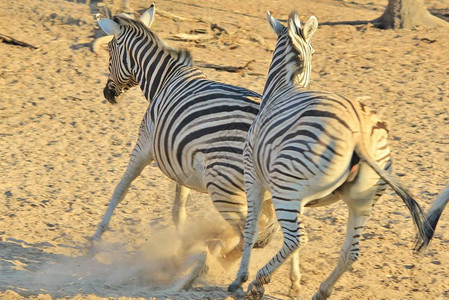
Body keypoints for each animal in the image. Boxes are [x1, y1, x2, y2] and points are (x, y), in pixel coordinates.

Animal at [89, 3, 278, 282]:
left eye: (110, 52)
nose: (107, 94)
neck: (164, 79)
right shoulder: (182, 162)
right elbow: (179, 211)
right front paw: (180, 250)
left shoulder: (144, 146)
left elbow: (120, 189)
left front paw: (97, 236)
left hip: (223, 185)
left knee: (250, 231)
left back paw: (216, 265)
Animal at [228, 10, 434, 298]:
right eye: (314, 50)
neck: (284, 86)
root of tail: (359, 131)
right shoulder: (298, 196)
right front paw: (295, 281)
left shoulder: (253, 175)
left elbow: (250, 228)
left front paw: (240, 278)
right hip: (361, 199)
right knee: (350, 251)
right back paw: (322, 290)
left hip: (286, 188)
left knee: (297, 239)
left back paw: (258, 283)